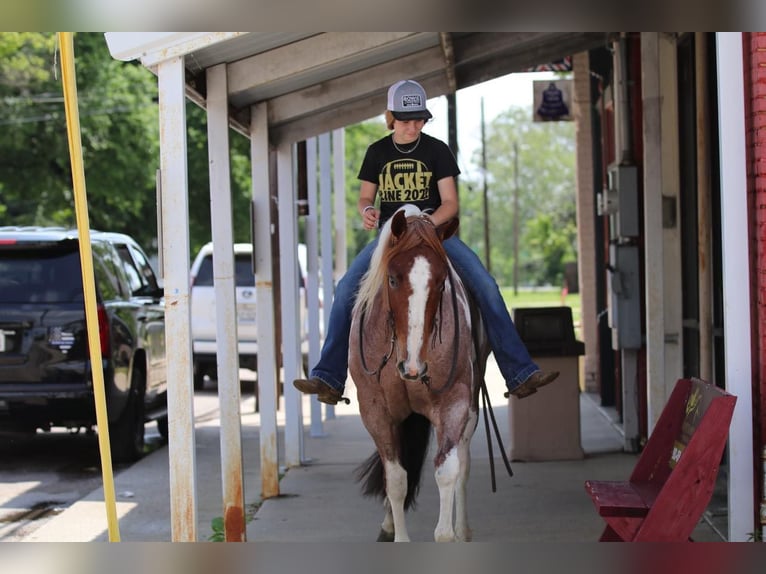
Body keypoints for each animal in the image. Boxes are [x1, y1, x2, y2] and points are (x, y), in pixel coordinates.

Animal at [350, 205, 488, 544]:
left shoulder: (454, 404)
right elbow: (396, 478)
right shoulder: (376, 411)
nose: (413, 367)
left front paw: (449, 533)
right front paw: (397, 534)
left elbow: (448, 472)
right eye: (392, 279)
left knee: (463, 464)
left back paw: (463, 529)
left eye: (441, 282)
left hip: (471, 410)